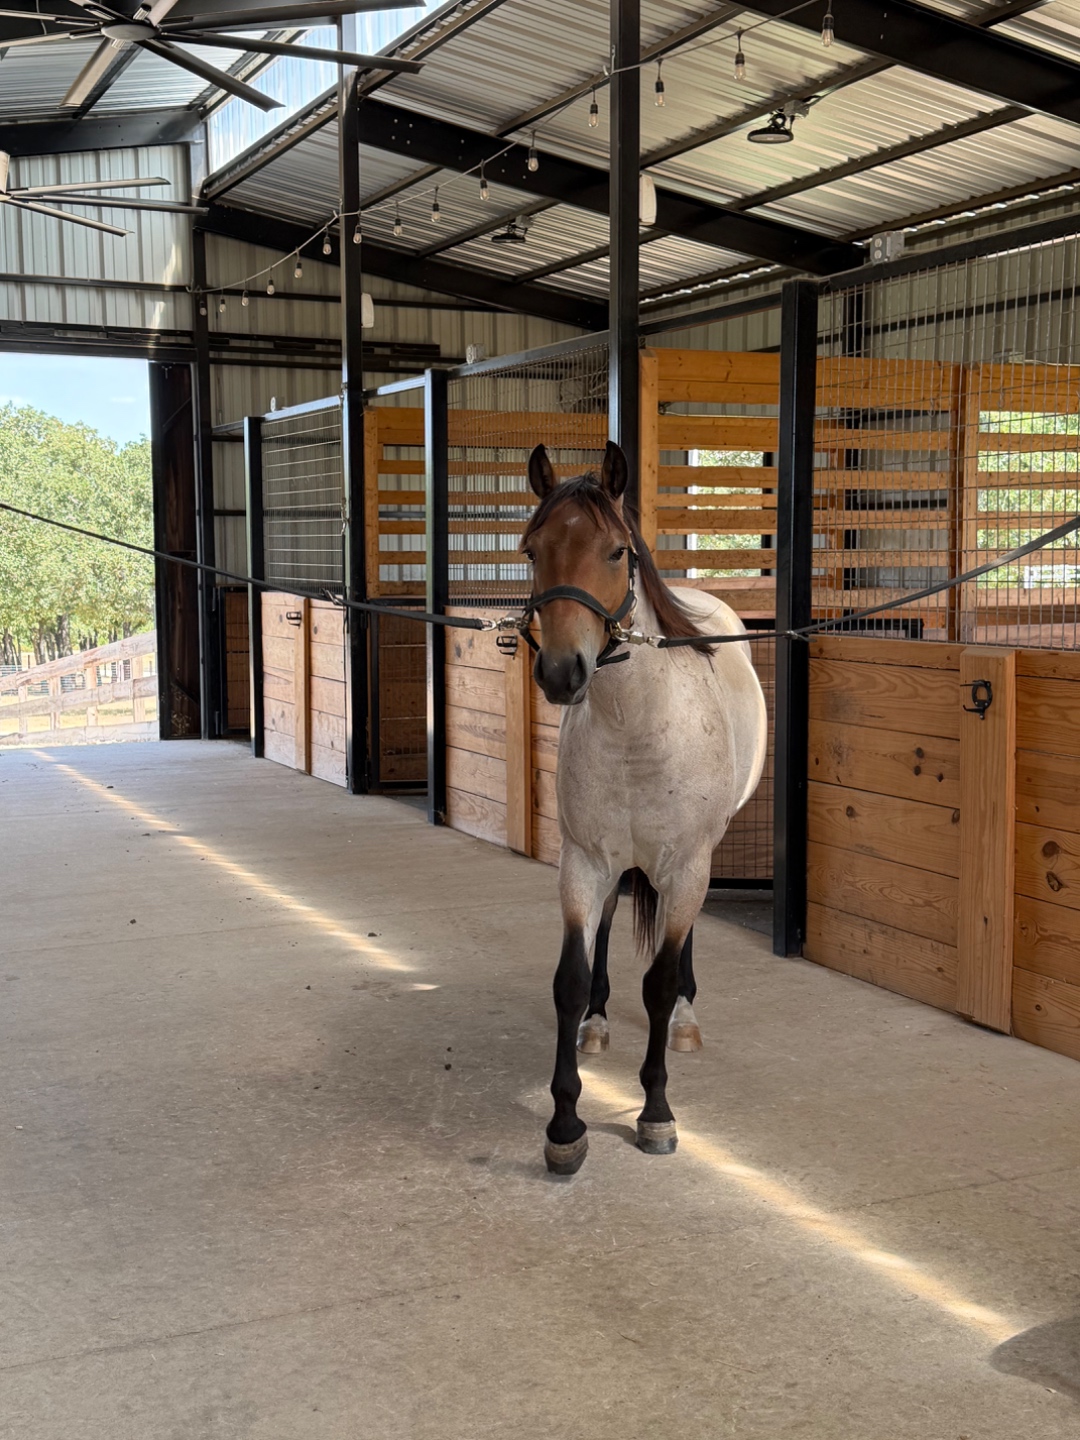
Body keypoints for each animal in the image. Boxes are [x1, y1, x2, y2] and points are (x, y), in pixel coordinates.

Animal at [520, 440, 767, 1175]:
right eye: (532, 548)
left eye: (615, 551)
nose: (562, 672)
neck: (635, 723)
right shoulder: (582, 862)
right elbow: (570, 980)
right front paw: (565, 1125)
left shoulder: (686, 866)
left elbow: (657, 983)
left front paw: (656, 1113)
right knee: (605, 927)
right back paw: (599, 1024)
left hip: (699, 860)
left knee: (678, 957)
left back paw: (685, 1017)